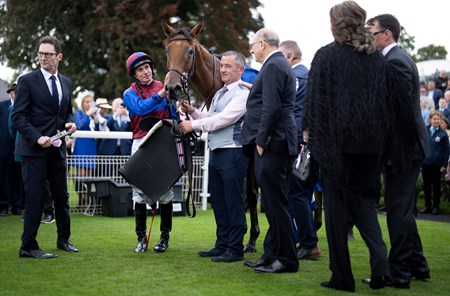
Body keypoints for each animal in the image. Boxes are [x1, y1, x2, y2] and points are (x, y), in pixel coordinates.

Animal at [161, 20, 260, 252]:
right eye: (167, 50)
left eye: (190, 51)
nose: (172, 88)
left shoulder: (250, 155)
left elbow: (251, 194)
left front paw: (251, 240)